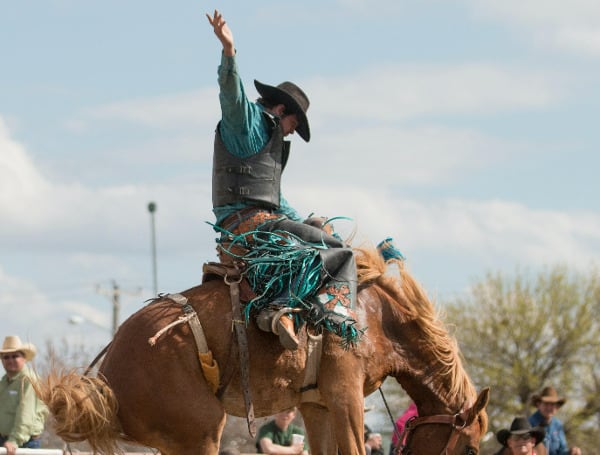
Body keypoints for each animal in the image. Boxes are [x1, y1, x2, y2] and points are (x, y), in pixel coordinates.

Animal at [36, 248, 488, 454]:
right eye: (469, 447)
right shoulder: (346, 397)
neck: (377, 319)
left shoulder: (316, 405)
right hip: (202, 430)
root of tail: (106, 380)